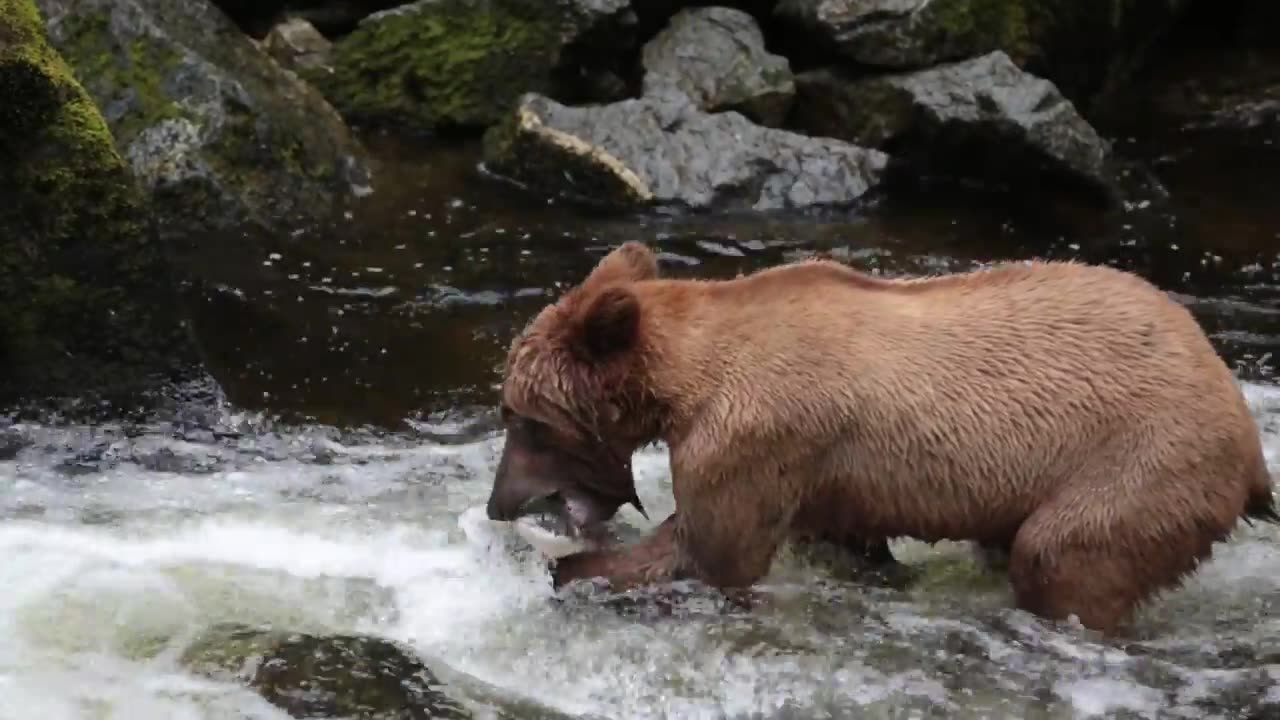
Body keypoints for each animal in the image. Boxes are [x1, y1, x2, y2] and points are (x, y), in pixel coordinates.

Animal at [483, 240, 1274, 632]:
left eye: (526, 419)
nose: (496, 503)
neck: (689, 380)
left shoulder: (752, 437)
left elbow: (710, 554)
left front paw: (569, 570)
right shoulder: (828, 477)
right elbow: (844, 542)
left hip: (1143, 457)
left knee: (1063, 558)